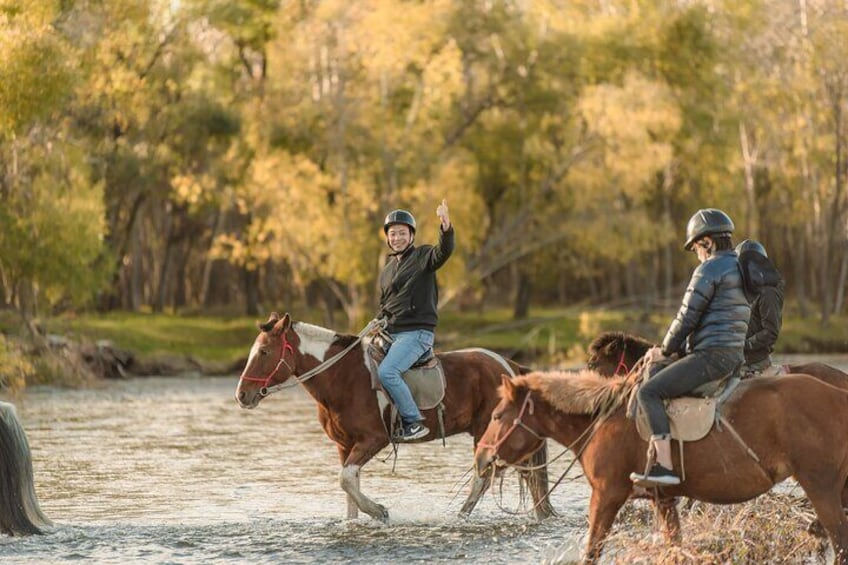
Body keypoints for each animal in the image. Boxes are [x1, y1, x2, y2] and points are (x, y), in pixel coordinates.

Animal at [237, 310, 556, 524]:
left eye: (264, 351)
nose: (242, 395)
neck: (342, 377)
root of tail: (508, 366)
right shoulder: (344, 446)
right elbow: (349, 488)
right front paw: (356, 521)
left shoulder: (373, 440)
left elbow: (346, 480)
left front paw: (379, 511)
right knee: (528, 477)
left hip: (487, 434)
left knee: (484, 478)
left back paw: (459, 517)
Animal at [474, 370, 848, 560]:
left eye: (497, 415)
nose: (480, 457)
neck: (601, 420)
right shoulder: (663, 500)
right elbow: (675, 545)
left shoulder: (606, 496)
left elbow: (593, 548)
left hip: (822, 487)